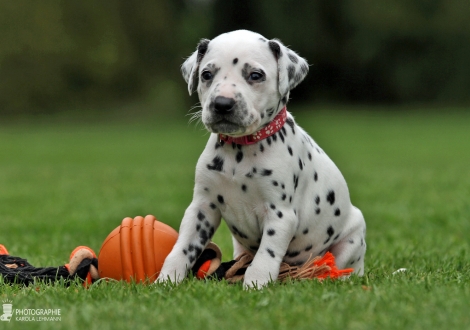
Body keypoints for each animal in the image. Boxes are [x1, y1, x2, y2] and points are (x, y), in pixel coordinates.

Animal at [158, 30, 368, 288]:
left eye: (255, 75)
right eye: (206, 74)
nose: (222, 104)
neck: (239, 151)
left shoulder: (280, 214)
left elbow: (265, 255)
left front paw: (255, 284)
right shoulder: (202, 207)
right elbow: (183, 247)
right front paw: (167, 279)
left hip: (352, 238)